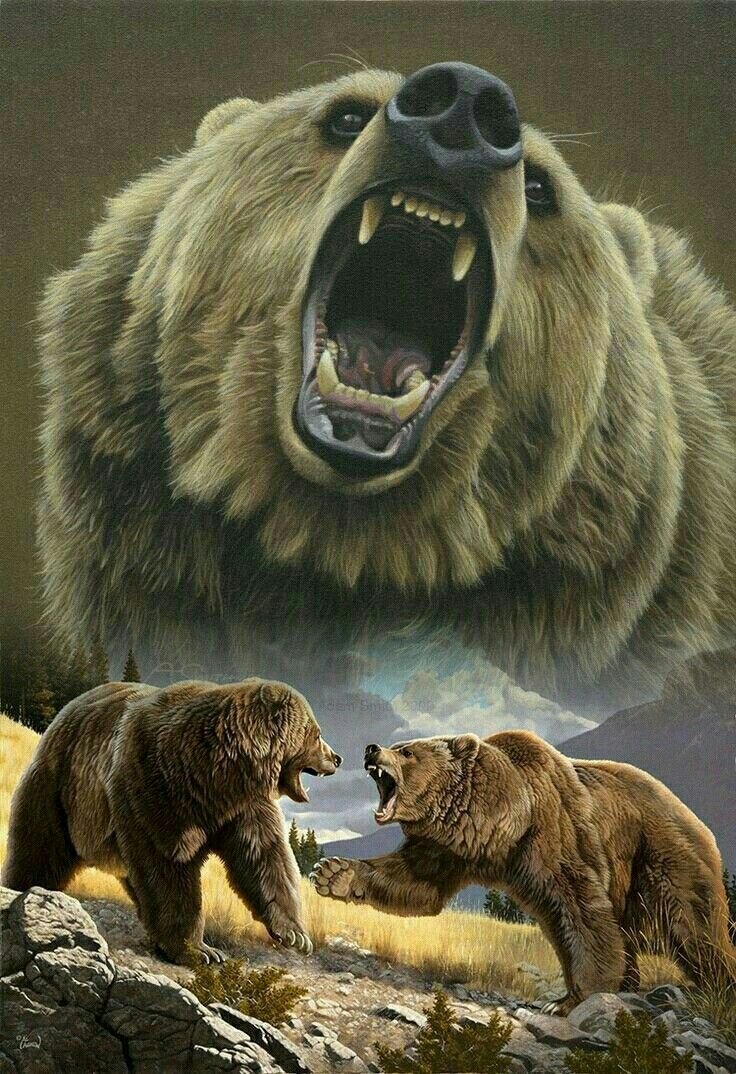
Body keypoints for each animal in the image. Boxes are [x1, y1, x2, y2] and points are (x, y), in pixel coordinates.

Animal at [2, 678, 341, 963]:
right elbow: (168, 865)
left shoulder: (243, 807)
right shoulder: (157, 785)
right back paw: (23, 888)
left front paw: (295, 935)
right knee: (40, 846)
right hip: (59, 787)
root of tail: (65, 713)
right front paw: (199, 949)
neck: (218, 774)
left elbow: (264, 856)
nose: (336, 758)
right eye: (316, 733)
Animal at [311, 731, 736, 1013]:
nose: (371, 748)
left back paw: (717, 989)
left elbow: (582, 909)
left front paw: (572, 999)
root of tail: (696, 819)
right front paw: (332, 873)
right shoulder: (449, 847)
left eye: (407, 750)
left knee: (694, 929)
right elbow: (416, 880)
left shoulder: (554, 834)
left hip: (661, 855)